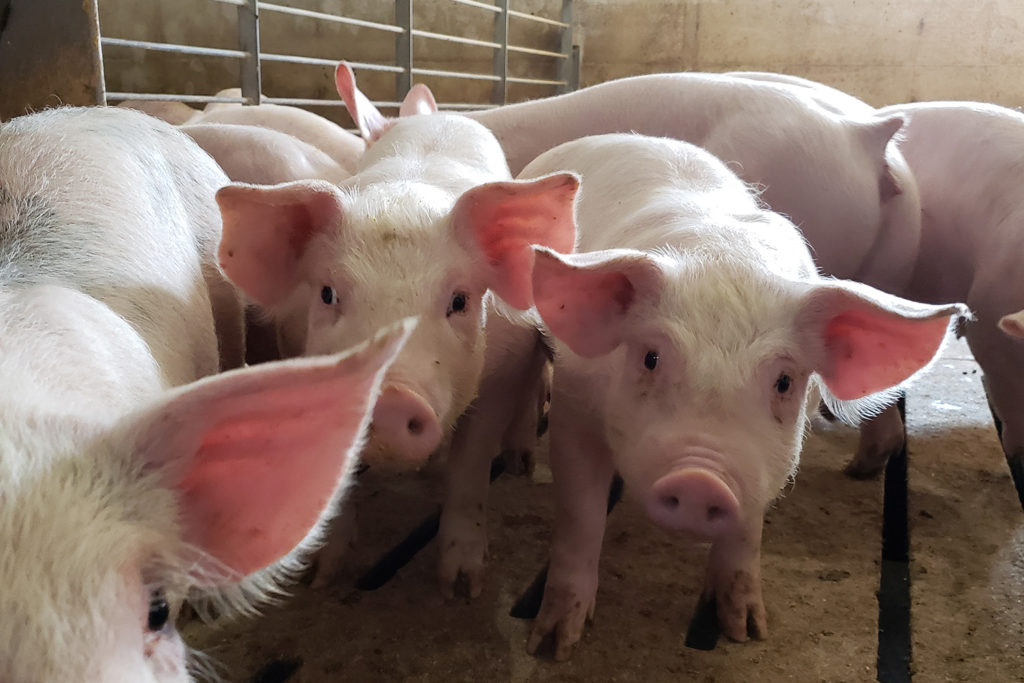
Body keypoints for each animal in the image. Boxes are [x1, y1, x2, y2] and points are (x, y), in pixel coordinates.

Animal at [211, 61, 581, 589]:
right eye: (327, 293)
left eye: (459, 301)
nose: (388, 399)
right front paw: (319, 576)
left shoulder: (500, 375)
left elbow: (471, 468)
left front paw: (462, 583)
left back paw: (517, 462)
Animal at [520, 132, 966, 655]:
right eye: (650, 357)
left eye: (784, 382)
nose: (700, 479)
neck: (724, 258)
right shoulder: (576, 404)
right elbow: (581, 515)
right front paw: (552, 644)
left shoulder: (765, 459)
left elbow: (747, 530)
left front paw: (746, 631)